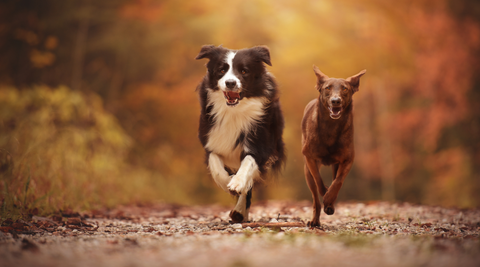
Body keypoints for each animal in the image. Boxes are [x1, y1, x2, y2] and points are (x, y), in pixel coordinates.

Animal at [195, 45, 284, 223]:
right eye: (222, 70)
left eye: (244, 71)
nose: (230, 83)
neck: (234, 111)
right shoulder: (211, 140)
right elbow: (215, 164)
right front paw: (227, 182)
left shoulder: (260, 146)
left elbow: (248, 163)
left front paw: (236, 183)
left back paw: (239, 211)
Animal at [302, 66, 366, 227]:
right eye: (327, 88)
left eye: (344, 88)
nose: (335, 101)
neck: (331, 126)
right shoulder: (310, 158)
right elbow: (318, 180)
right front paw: (325, 194)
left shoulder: (347, 159)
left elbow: (338, 181)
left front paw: (329, 200)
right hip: (307, 171)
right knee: (315, 199)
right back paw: (315, 220)